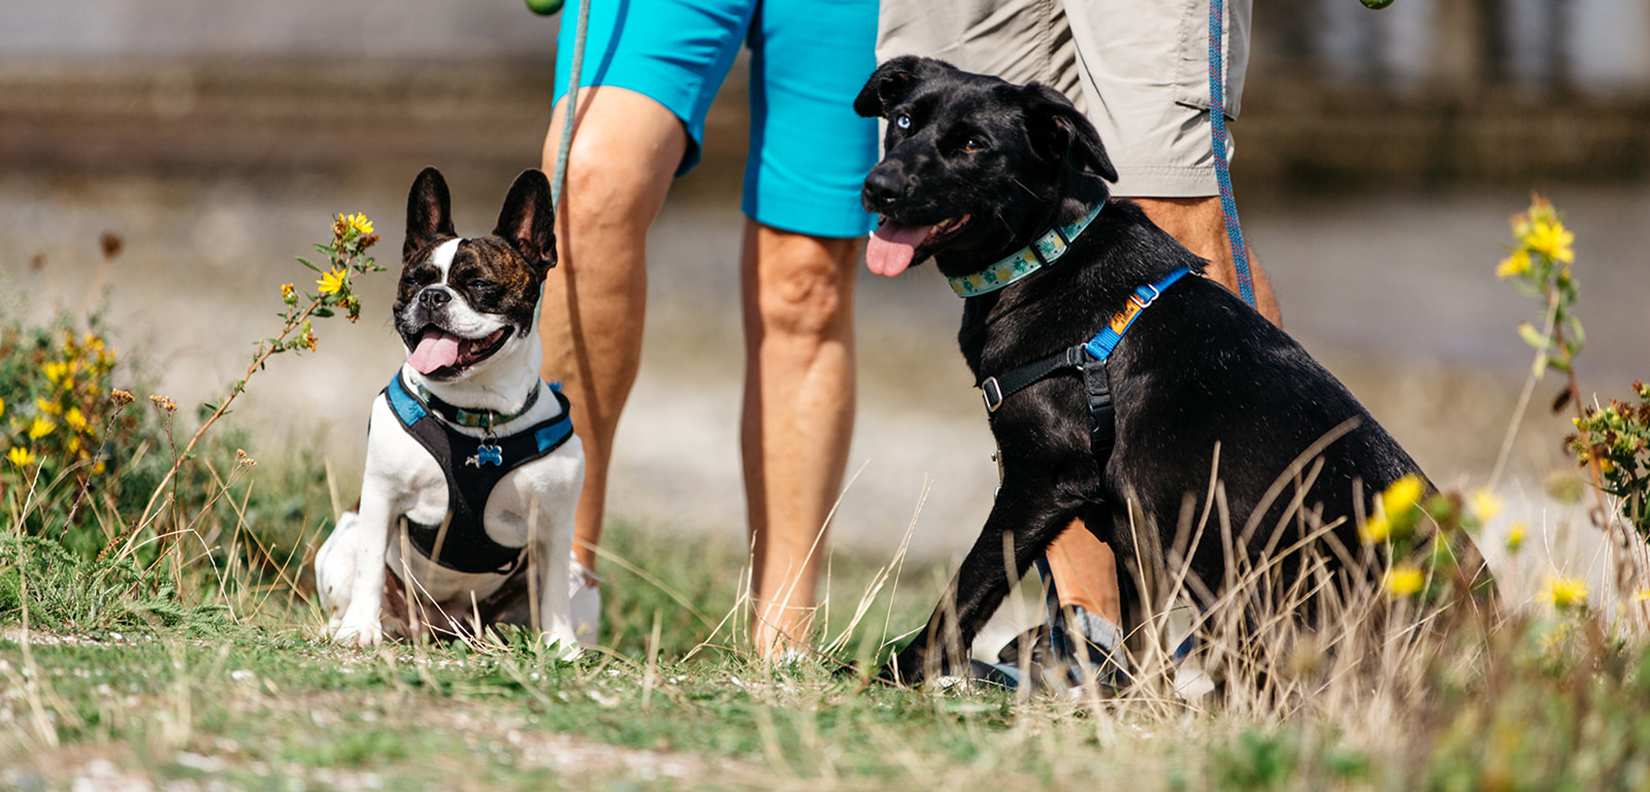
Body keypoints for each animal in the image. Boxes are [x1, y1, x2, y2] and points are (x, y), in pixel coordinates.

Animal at [315, 166, 587, 650]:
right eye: (413, 281)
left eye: (479, 285)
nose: (433, 296)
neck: (478, 419)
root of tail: (443, 624)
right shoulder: (381, 495)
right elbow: (370, 565)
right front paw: (359, 627)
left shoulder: (555, 524)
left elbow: (553, 589)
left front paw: (562, 644)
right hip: (343, 539)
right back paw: (353, 625)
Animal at [858, 57, 1491, 686]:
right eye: (904, 121)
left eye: (972, 144)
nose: (877, 188)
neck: (1047, 256)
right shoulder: (1130, 529)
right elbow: (1141, 642)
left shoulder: (1042, 478)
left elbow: (967, 588)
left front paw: (894, 672)